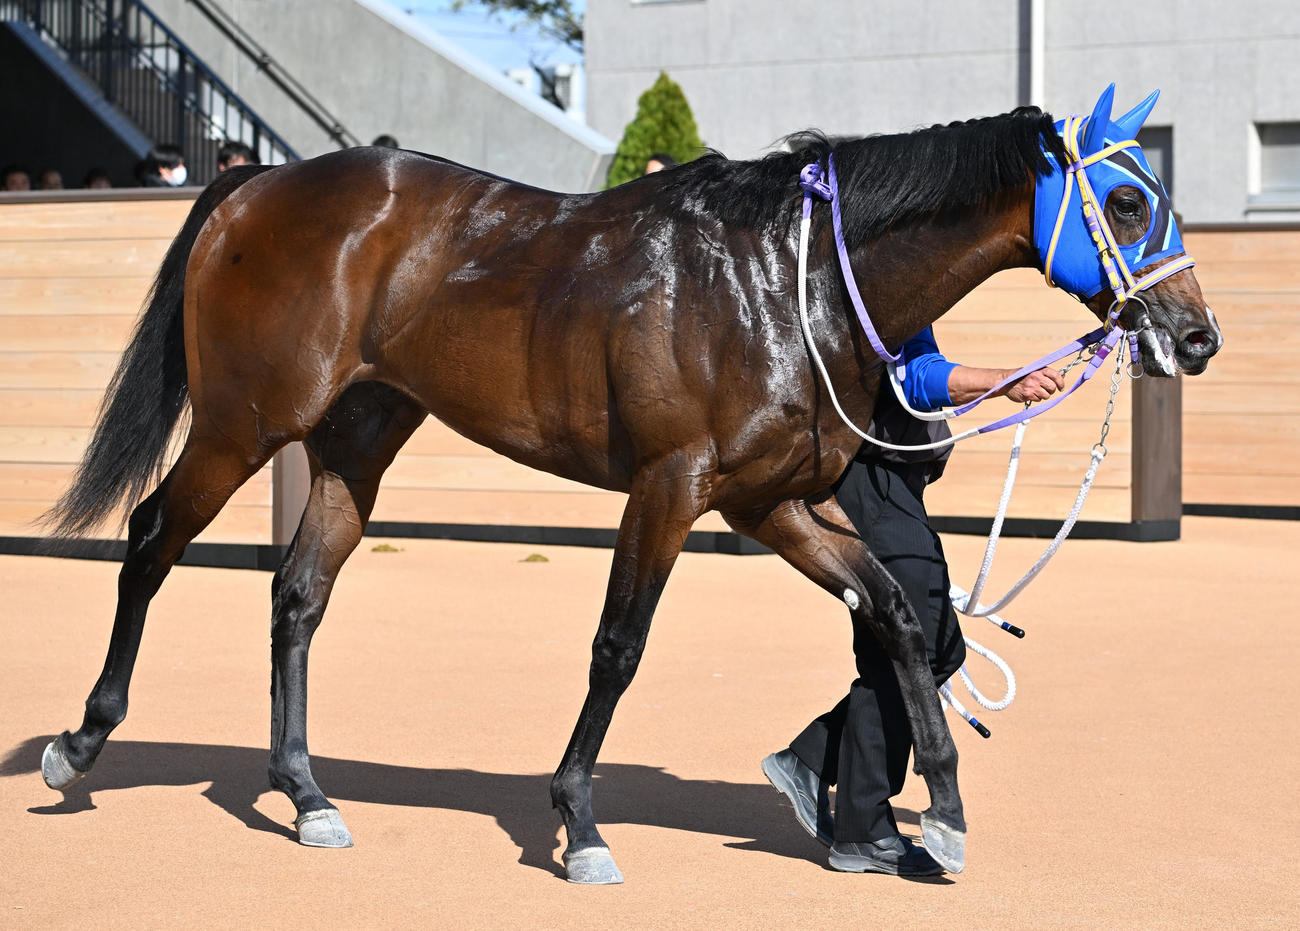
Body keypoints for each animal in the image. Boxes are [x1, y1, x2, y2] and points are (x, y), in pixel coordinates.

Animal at [37, 87, 1221, 884]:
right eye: (1125, 201)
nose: (1197, 336)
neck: (784, 278)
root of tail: (258, 184)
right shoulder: (670, 486)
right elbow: (619, 644)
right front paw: (580, 824)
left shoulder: (772, 503)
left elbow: (891, 611)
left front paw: (940, 815)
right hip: (243, 424)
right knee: (150, 540)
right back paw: (80, 742)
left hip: (355, 441)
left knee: (297, 594)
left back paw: (307, 794)